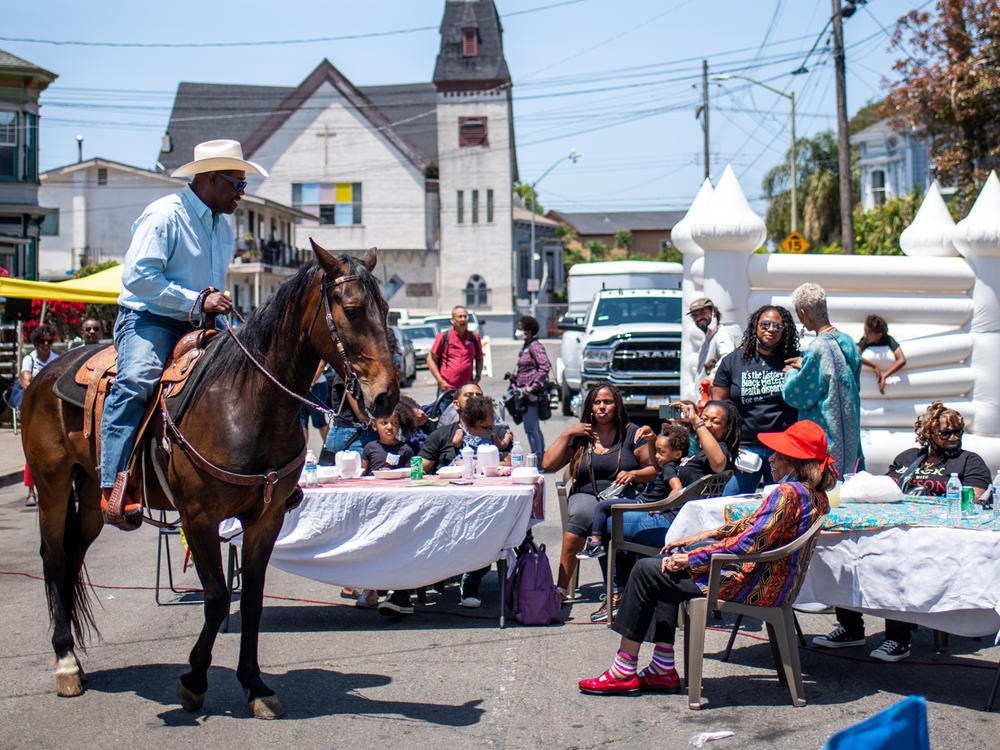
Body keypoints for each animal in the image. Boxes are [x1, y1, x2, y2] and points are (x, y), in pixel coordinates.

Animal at [23, 244, 398, 720]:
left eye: (385, 309)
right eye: (351, 310)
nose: (386, 396)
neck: (245, 402)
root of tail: (46, 373)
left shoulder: (266, 518)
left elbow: (252, 598)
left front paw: (255, 685)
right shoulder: (198, 517)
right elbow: (218, 597)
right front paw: (194, 681)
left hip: (92, 496)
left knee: (72, 556)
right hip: (52, 485)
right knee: (54, 558)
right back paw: (66, 662)